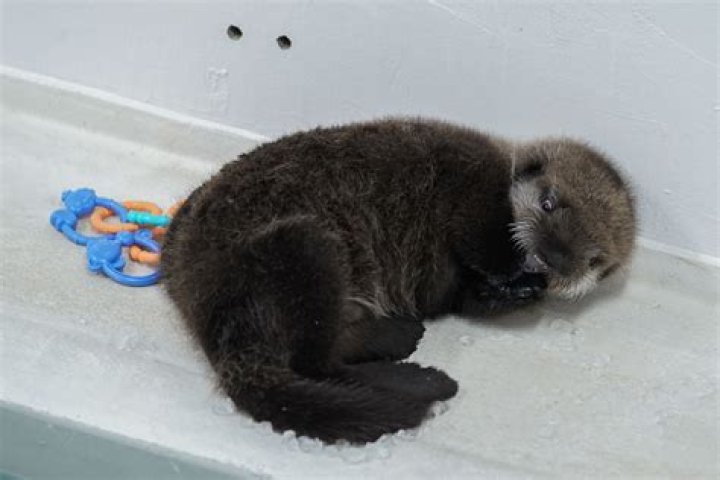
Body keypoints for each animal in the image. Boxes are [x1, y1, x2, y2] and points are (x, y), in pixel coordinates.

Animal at [161, 118, 636, 444]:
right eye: (549, 202)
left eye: (593, 260)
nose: (554, 259)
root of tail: (208, 315)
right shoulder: (476, 178)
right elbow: (482, 233)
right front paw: (515, 273)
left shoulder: (452, 285)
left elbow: (458, 298)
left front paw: (520, 289)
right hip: (300, 249)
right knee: (317, 362)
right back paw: (423, 375)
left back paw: (400, 337)